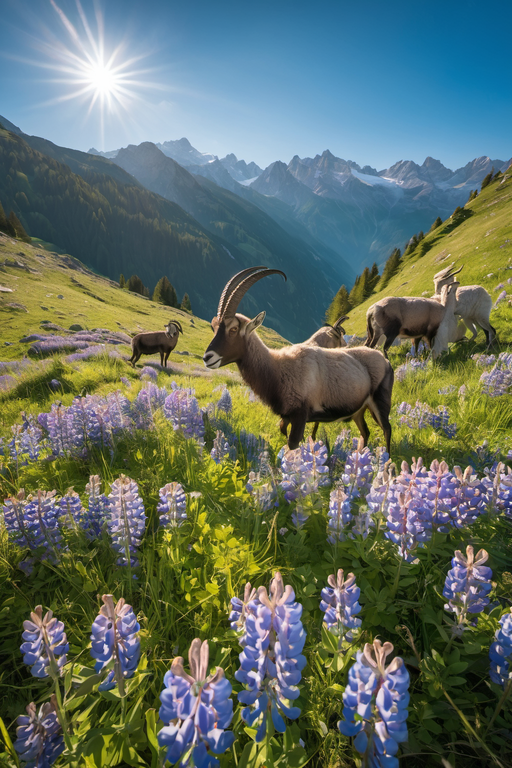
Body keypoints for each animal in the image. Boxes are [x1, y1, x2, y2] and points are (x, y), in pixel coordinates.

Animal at [203, 267, 394, 452]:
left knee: (387, 429)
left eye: (233, 329)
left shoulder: (300, 416)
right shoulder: (286, 417)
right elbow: (283, 432)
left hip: (380, 402)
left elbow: (293, 445)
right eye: (213, 327)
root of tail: (385, 361)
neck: (278, 367)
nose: (207, 358)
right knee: (365, 432)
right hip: (358, 411)